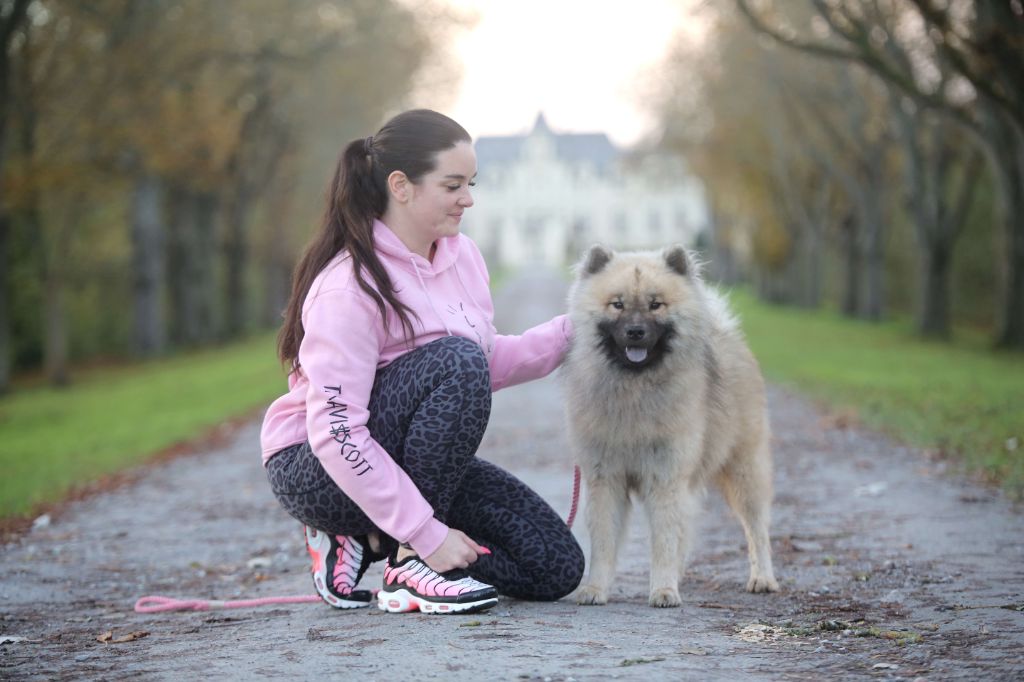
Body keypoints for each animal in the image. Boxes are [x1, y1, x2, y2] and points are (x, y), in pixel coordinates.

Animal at [561, 244, 774, 606]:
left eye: (655, 304)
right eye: (617, 304)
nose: (635, 332)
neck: (634, 390)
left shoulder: (665, 477)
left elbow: (663, 540)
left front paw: (663, 589)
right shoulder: (606, 478)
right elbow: (604, 541)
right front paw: (596, 588)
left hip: (744, 469)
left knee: (756, 526)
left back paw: (763, 578)